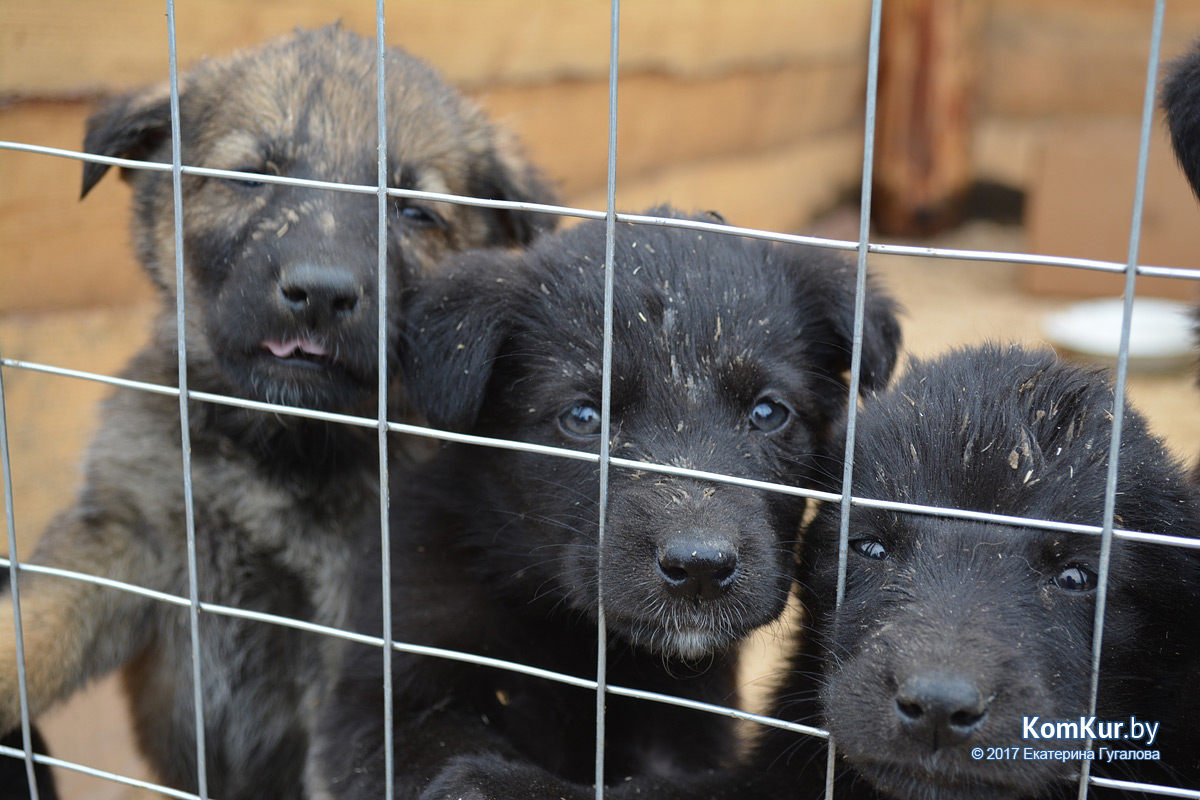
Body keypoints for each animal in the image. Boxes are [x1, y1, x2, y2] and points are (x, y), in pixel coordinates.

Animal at [0, 25, 552, 800]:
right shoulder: (124, 537)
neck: (276, 449)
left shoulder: (354, 646)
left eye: (413, 211)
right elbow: (31, 626)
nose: (319, 293)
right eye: (249, 175)